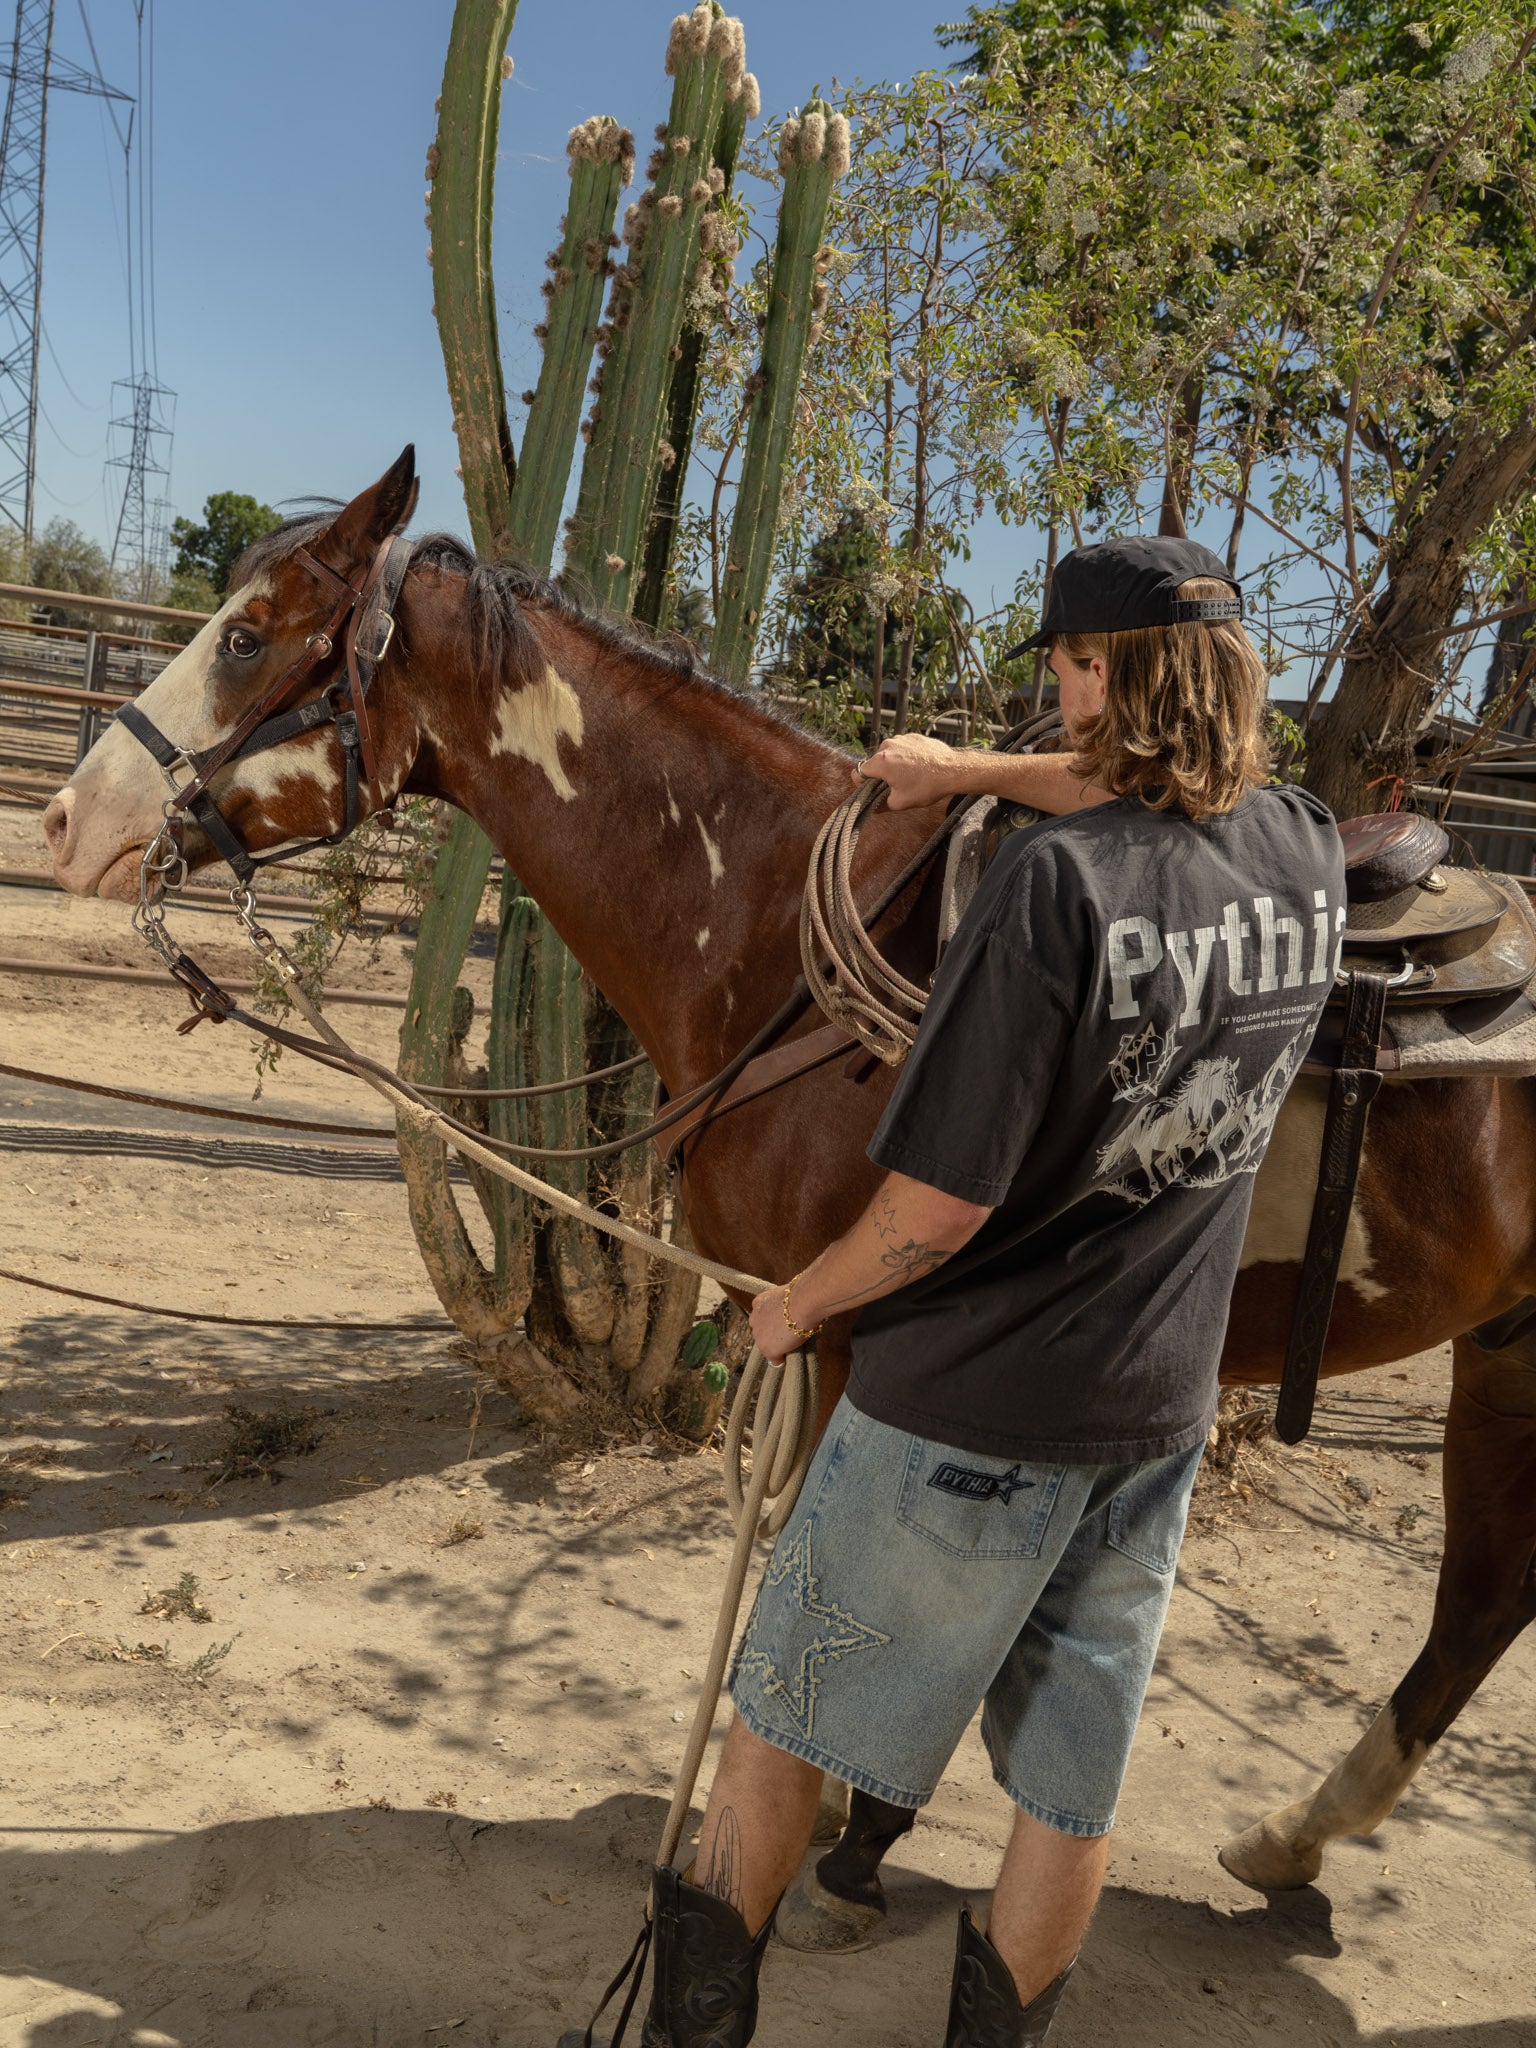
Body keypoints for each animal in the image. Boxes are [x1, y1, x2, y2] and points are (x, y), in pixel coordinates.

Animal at [41, 451, 1536, 1940]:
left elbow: (833, 1584)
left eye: (248, 636)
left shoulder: (841, 1339)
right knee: (1482, 1597)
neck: (779, 930)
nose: (67, 821)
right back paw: (1292, 1838)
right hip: (1505, 1348)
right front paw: (859, 1826)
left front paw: (820, 1818)